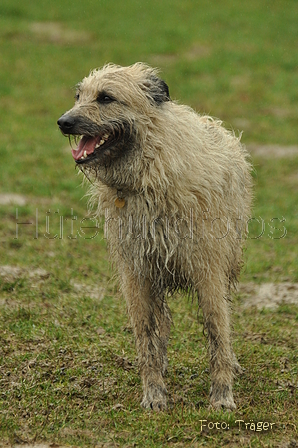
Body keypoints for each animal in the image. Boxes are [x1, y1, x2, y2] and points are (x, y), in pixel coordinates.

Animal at [57, 62, 251, 410]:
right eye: (79, 96)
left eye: (106, 97)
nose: (63, 122)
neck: (149, 173)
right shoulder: (137, 273)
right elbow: (146, 333)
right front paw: (154, 391)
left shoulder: (209, 271)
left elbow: (218, 329)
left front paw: (222, 394)